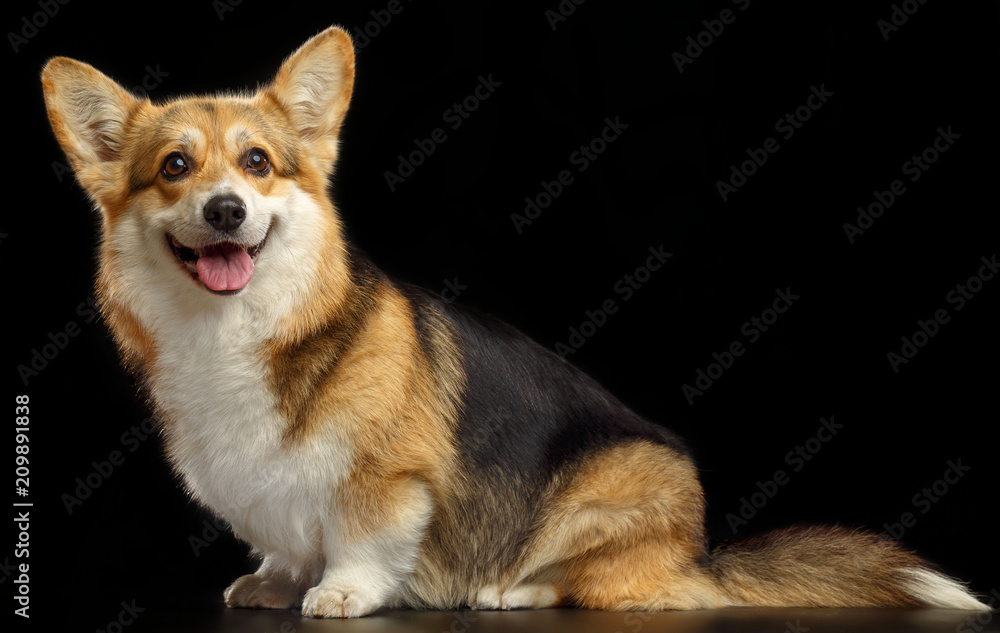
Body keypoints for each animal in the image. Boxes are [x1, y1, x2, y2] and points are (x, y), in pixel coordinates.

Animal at [39, 25, 984, 616]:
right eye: (174, 166)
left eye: (259, 163)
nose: (228, 210)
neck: (238, 329)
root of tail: (700, 549)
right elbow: (282, 539)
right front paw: (275, 579)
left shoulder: (387, 481)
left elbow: (361, 540)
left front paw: (338, 591)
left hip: (602, 498)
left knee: (599, 584)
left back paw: (513, 590)